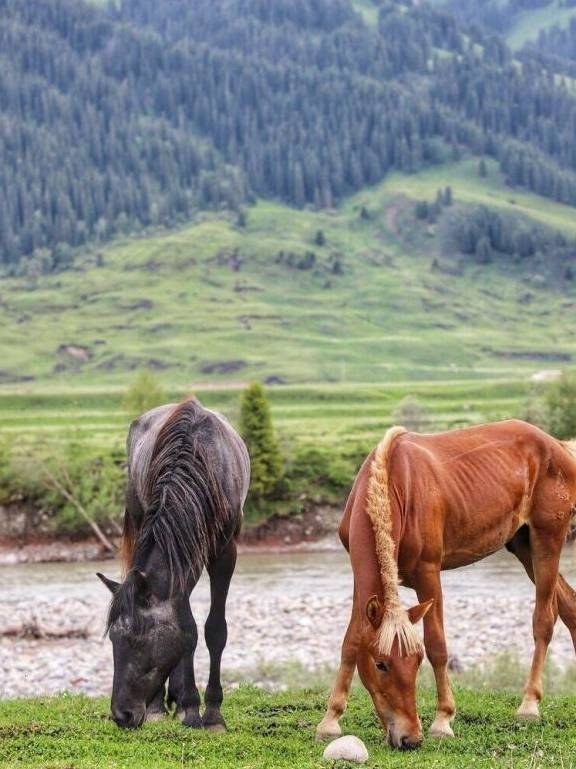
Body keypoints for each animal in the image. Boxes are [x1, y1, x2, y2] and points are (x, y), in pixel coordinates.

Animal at [97, 400, 250, 728]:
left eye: (138, 640)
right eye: (113, 638)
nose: (121, 714)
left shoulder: (225, 553)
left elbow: (213, 630)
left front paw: (212, 714)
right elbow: (186, 631)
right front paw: (189, 707)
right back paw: (164, 704)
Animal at [318, 420, 576, 752]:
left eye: (416, 662)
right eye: (381, 664)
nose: (410, 738)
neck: (394, 484)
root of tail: (558, 446)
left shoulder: (429, 573)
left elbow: (437, 646)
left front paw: (443, 720)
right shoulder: (359, 582)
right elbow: (351, 642)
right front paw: (330, 719)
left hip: (547, 538)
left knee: (544, 620)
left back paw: (529, 705)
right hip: (522, 544)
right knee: (569, 606)